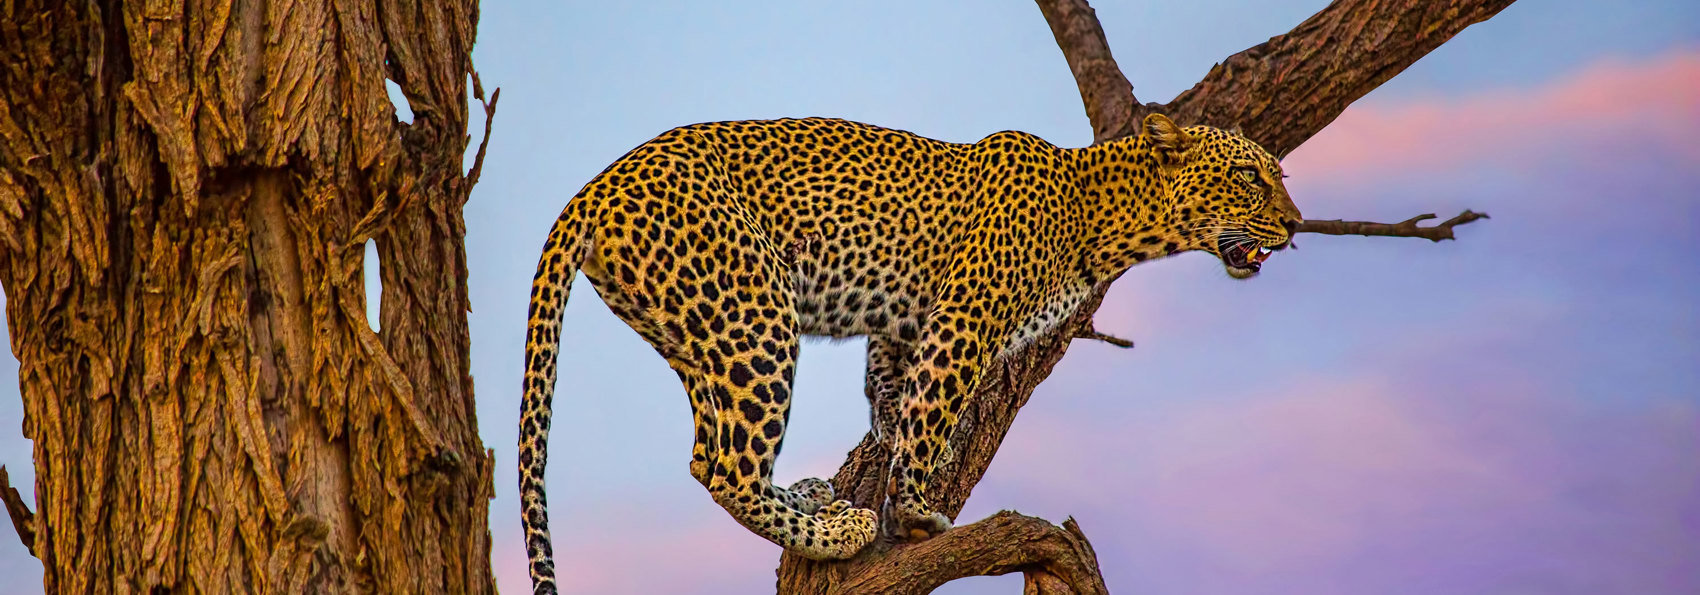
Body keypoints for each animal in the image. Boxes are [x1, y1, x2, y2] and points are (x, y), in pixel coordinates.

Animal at [516, 111, 1298, 591]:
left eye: (1277, 177)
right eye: (1250, 177)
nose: (1294, 227)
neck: (1103, 217)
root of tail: (597, 185)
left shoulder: (904, 327)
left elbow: (897, 398)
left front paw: (909, 455)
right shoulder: (967, 315)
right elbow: (935, 402)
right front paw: (918, 511)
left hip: (693, 331)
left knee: (706, 451)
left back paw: (811, 501)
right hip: (757, 312)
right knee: (728, 466)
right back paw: (837, 531)